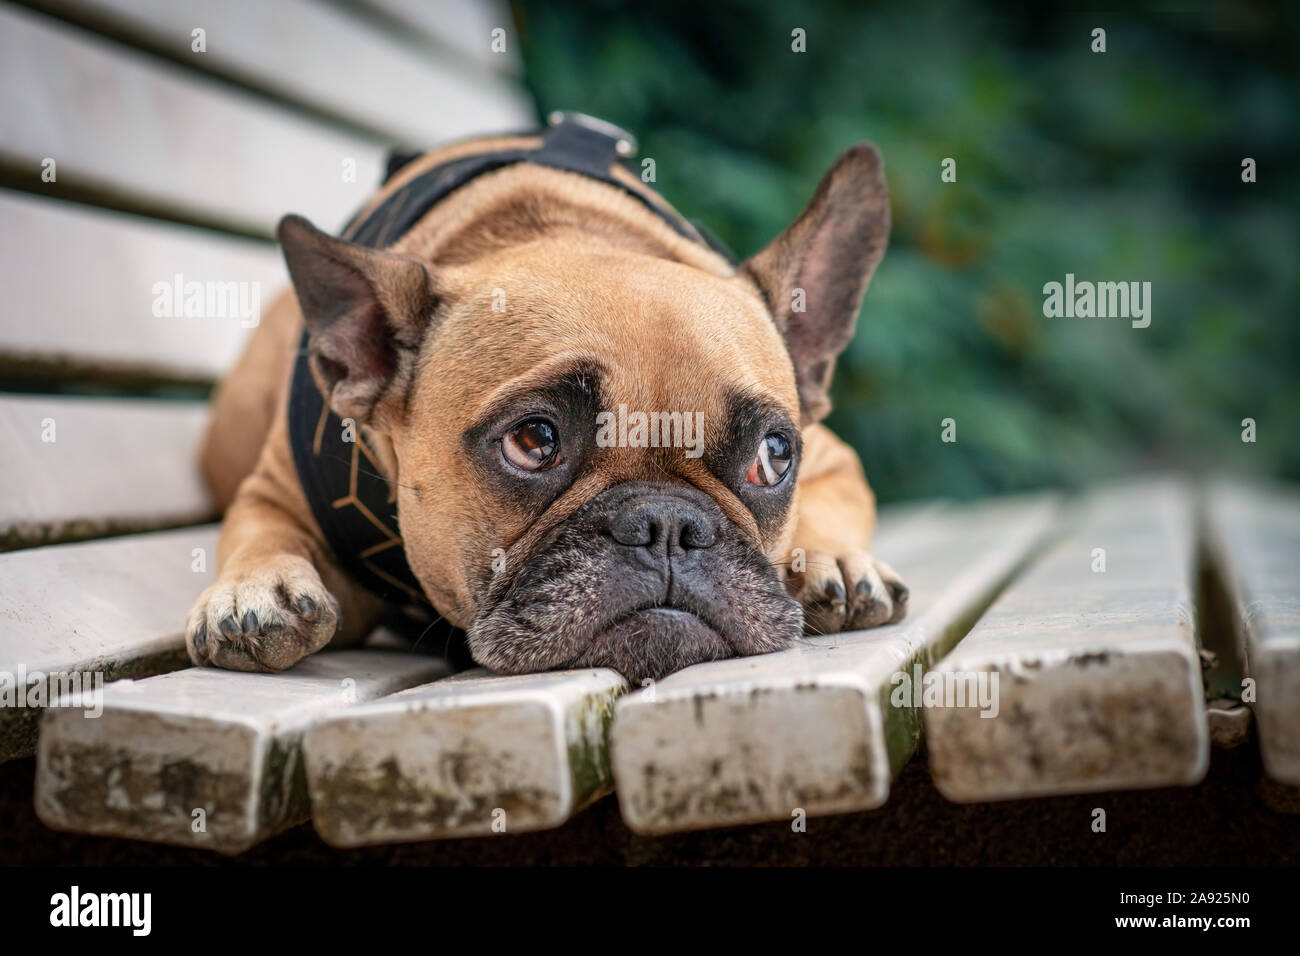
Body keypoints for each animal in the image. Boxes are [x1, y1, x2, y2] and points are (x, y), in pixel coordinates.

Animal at [188, 123, 909, 686]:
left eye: (774, 455)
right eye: (534, 441)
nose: (669, 525)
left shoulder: (832, 457)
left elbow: (831, 504)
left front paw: (834, 558)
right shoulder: (275, 488)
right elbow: (260, 528)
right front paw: (256, 585)